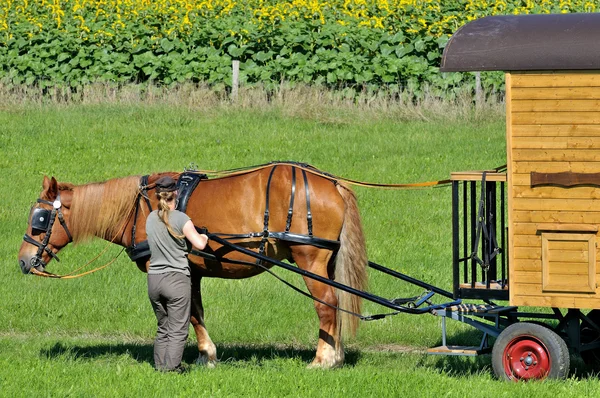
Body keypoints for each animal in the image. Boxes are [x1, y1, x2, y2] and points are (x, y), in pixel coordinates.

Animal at [17, 163, 366, 368]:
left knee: (326, 305)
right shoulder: (193, 271)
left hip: (310, 258)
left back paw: (324, 359)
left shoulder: (170, 268)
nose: (23, 260)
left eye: (40, 218)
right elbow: (196, 311)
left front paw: (201, 355)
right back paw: (336, 355)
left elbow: (185, 313)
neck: (138, 208)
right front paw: (205, 355)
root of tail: (331, 182)